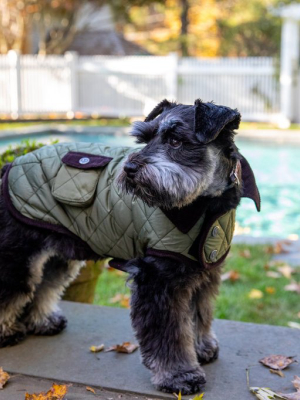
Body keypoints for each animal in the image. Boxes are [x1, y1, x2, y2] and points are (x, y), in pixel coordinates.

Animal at [0, 99, 260, 394]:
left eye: (176, 140)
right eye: (144, 139)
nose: (129, 169)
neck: (205, 204)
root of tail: (11, 164)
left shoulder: (203, 272)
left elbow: (199, 314)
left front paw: (201, 347)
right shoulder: (159, 281)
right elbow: (169, 333)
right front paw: (179, 375)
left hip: (59, 253)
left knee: (44, 285)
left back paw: (42, 321)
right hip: (17, 255)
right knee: (14, 289)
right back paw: (7, 332)